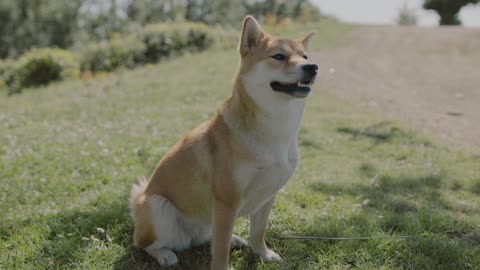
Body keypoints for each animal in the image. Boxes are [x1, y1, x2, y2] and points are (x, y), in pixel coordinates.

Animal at [130, 15, 318, 270]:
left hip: (206, 219)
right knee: (144, 244)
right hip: (157, 206)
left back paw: (234, 239)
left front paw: (263, 253)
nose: (312, 67)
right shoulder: (227, 201)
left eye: (305, 57)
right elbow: (219, 251)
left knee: (207, 237)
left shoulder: (268, 195)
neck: (277, 129)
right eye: (279, 56)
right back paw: (164, 254)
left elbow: (257, 233)